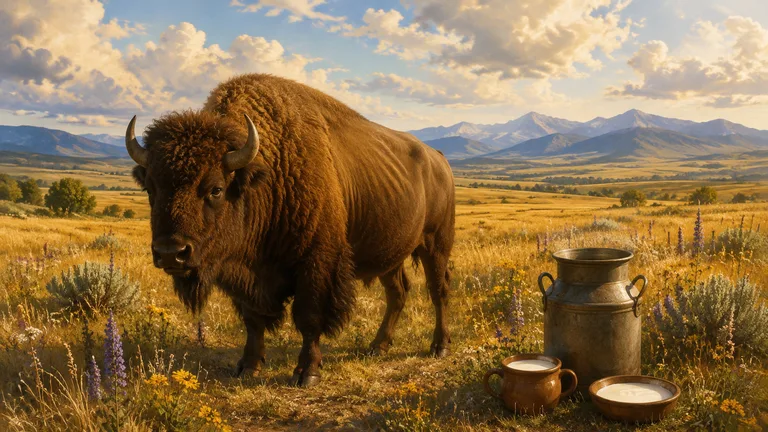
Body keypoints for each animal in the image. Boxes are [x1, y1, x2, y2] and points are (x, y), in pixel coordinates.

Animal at [125, 74, 455, 387]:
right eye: (151, 188)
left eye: (216, 189)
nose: (171, 253)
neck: (266, 173)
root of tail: (439, 159)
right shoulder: (246, 272)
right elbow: (253, 320)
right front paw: (247, 367)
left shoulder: (317, 264)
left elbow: (309, 317)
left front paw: (306, 373)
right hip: (391, 253)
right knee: (398, 292)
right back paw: (378, 346)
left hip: (436, 243)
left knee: (438, 290)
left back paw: (439, 347)